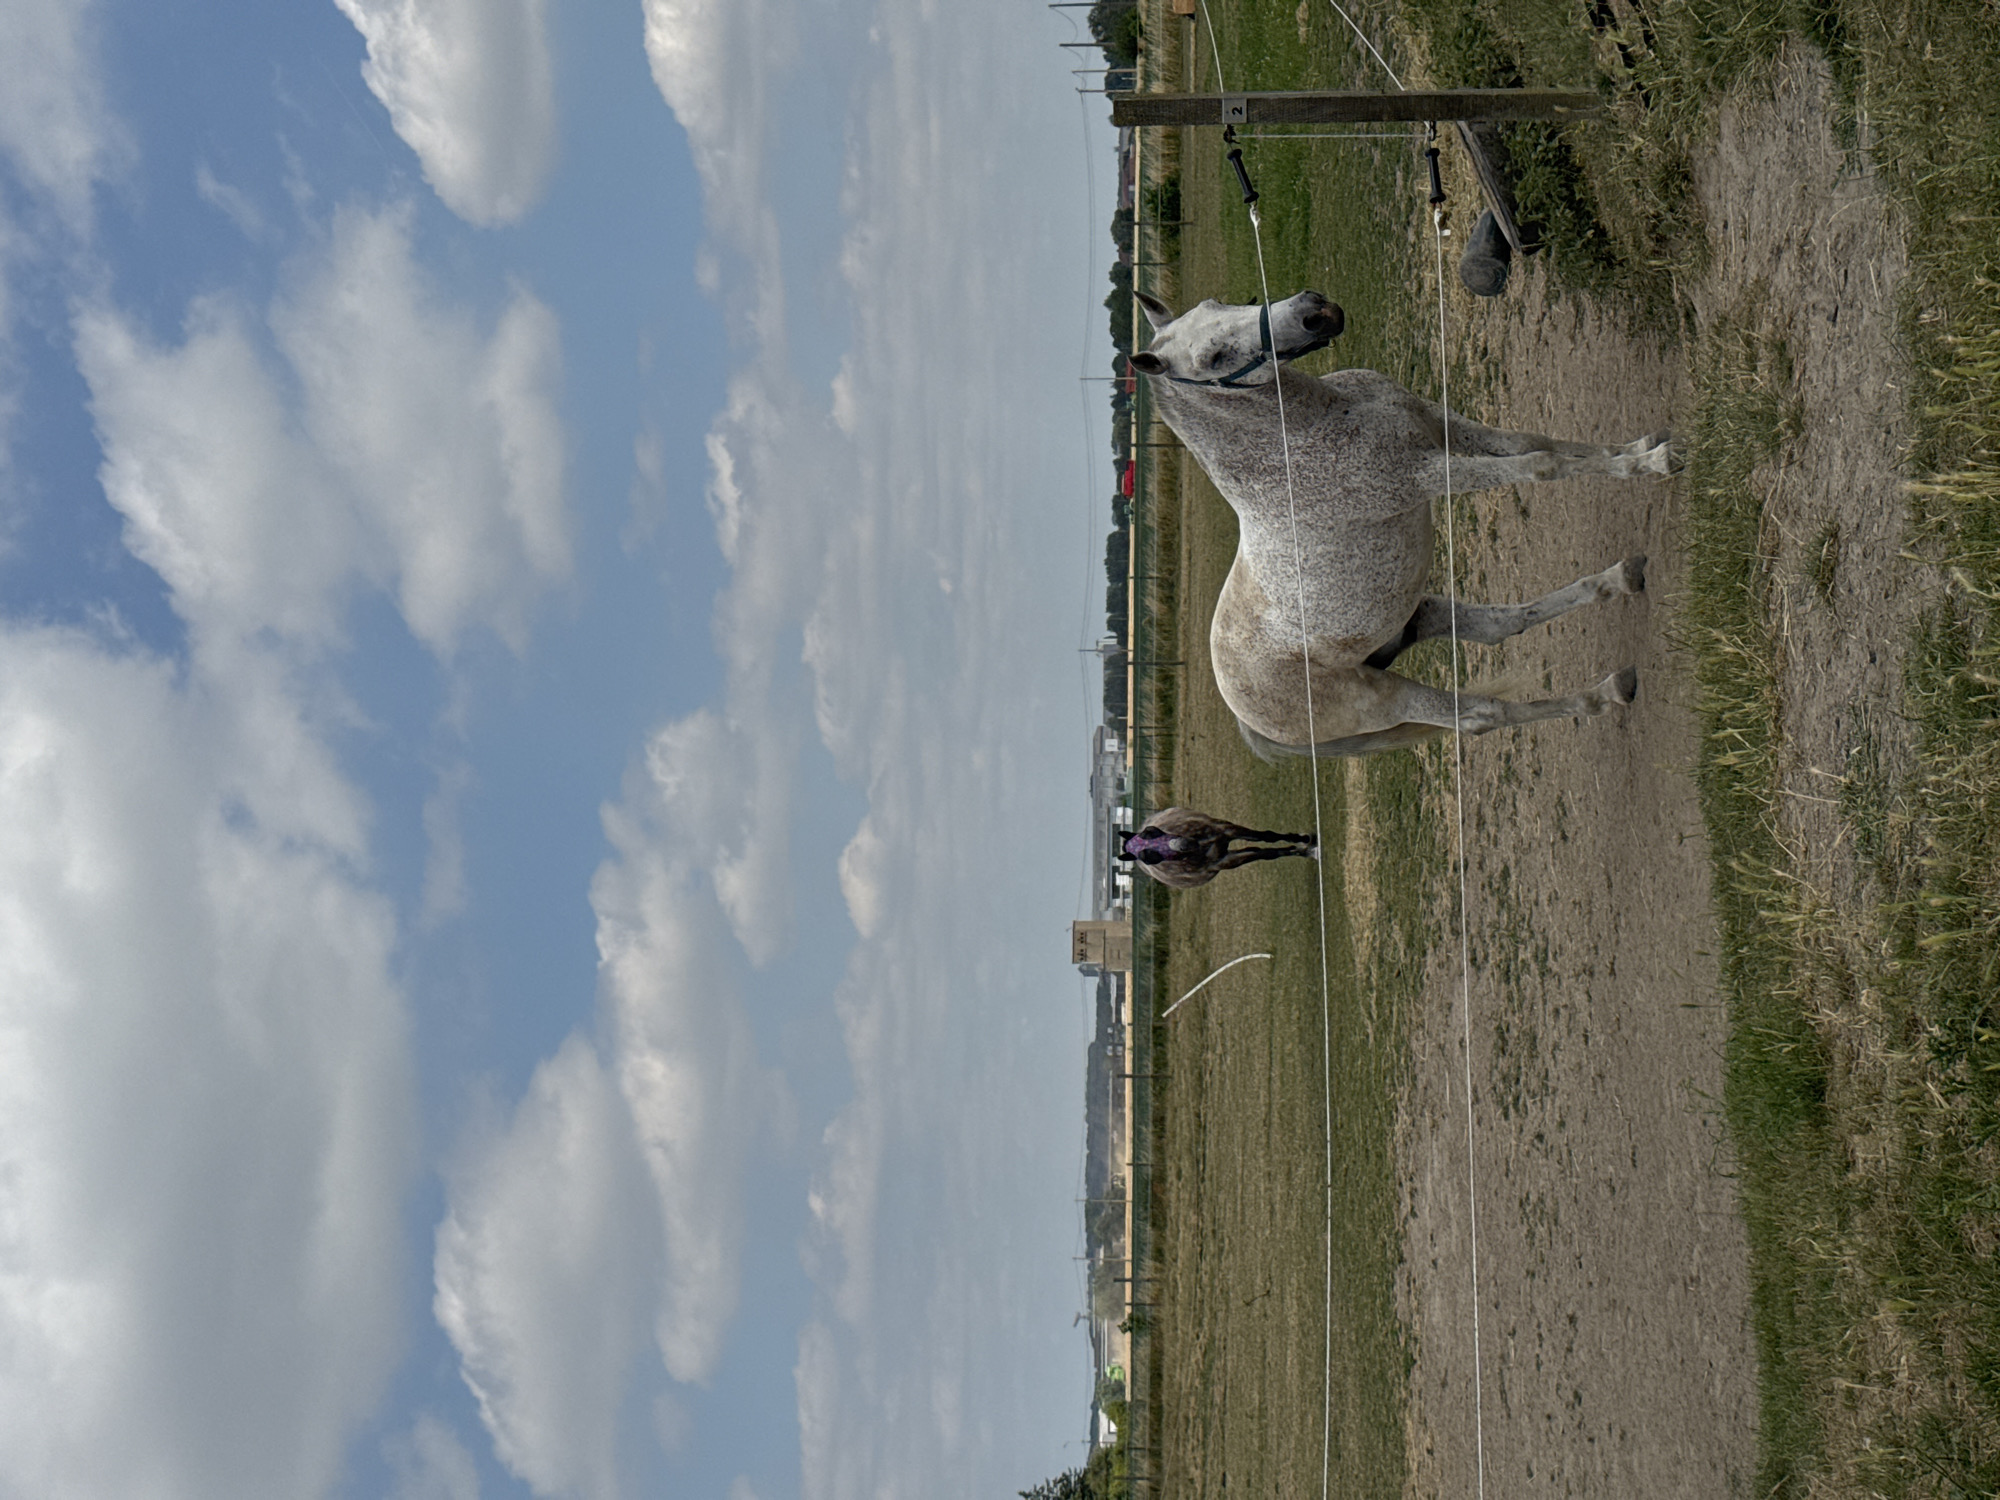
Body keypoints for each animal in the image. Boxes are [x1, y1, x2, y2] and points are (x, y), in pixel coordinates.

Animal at [1120, 806, 1319, 889]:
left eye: (1151, 831)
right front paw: (1302, 850)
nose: (1183, 845)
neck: (1198, 848)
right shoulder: (1225, 861)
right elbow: (1267, 854)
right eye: (1147, 857)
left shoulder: (1227, 830)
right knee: (1255, 850)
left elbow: (1267, 836)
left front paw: (1303, 840)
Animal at [1128, 289, 1670, 759]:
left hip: (1416, 614)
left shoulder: (1440, 423)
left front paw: (1638, 447)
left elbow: (1536, 442)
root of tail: (1246, 716)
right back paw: (1602, 694)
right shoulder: (1427, 475)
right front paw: (1652, 464)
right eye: (1214, 358)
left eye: (1222, 302)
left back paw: (1620, 581)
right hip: (1383, 699)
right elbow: (1543, 465)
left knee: (1501, 625)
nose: (1313, 311)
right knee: (1480, 716)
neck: (1305, 431)